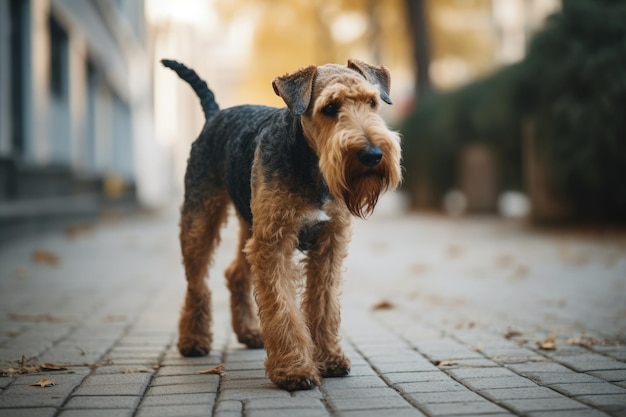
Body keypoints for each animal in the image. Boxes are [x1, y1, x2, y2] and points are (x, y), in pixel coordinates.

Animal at [162, 58, 400, 390]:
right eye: (330, 107)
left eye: (372, 102)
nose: (372, 154)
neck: (312, 165)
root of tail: (215, 114)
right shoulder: (274, 244)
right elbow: (282, 308)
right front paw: (294, 370)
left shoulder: (329, 243)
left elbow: (323, 304)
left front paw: (328, 359)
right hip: (202, 219)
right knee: (197, 283)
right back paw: (194, 341)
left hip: (251, 224)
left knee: (235, 274)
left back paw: (249, 333)